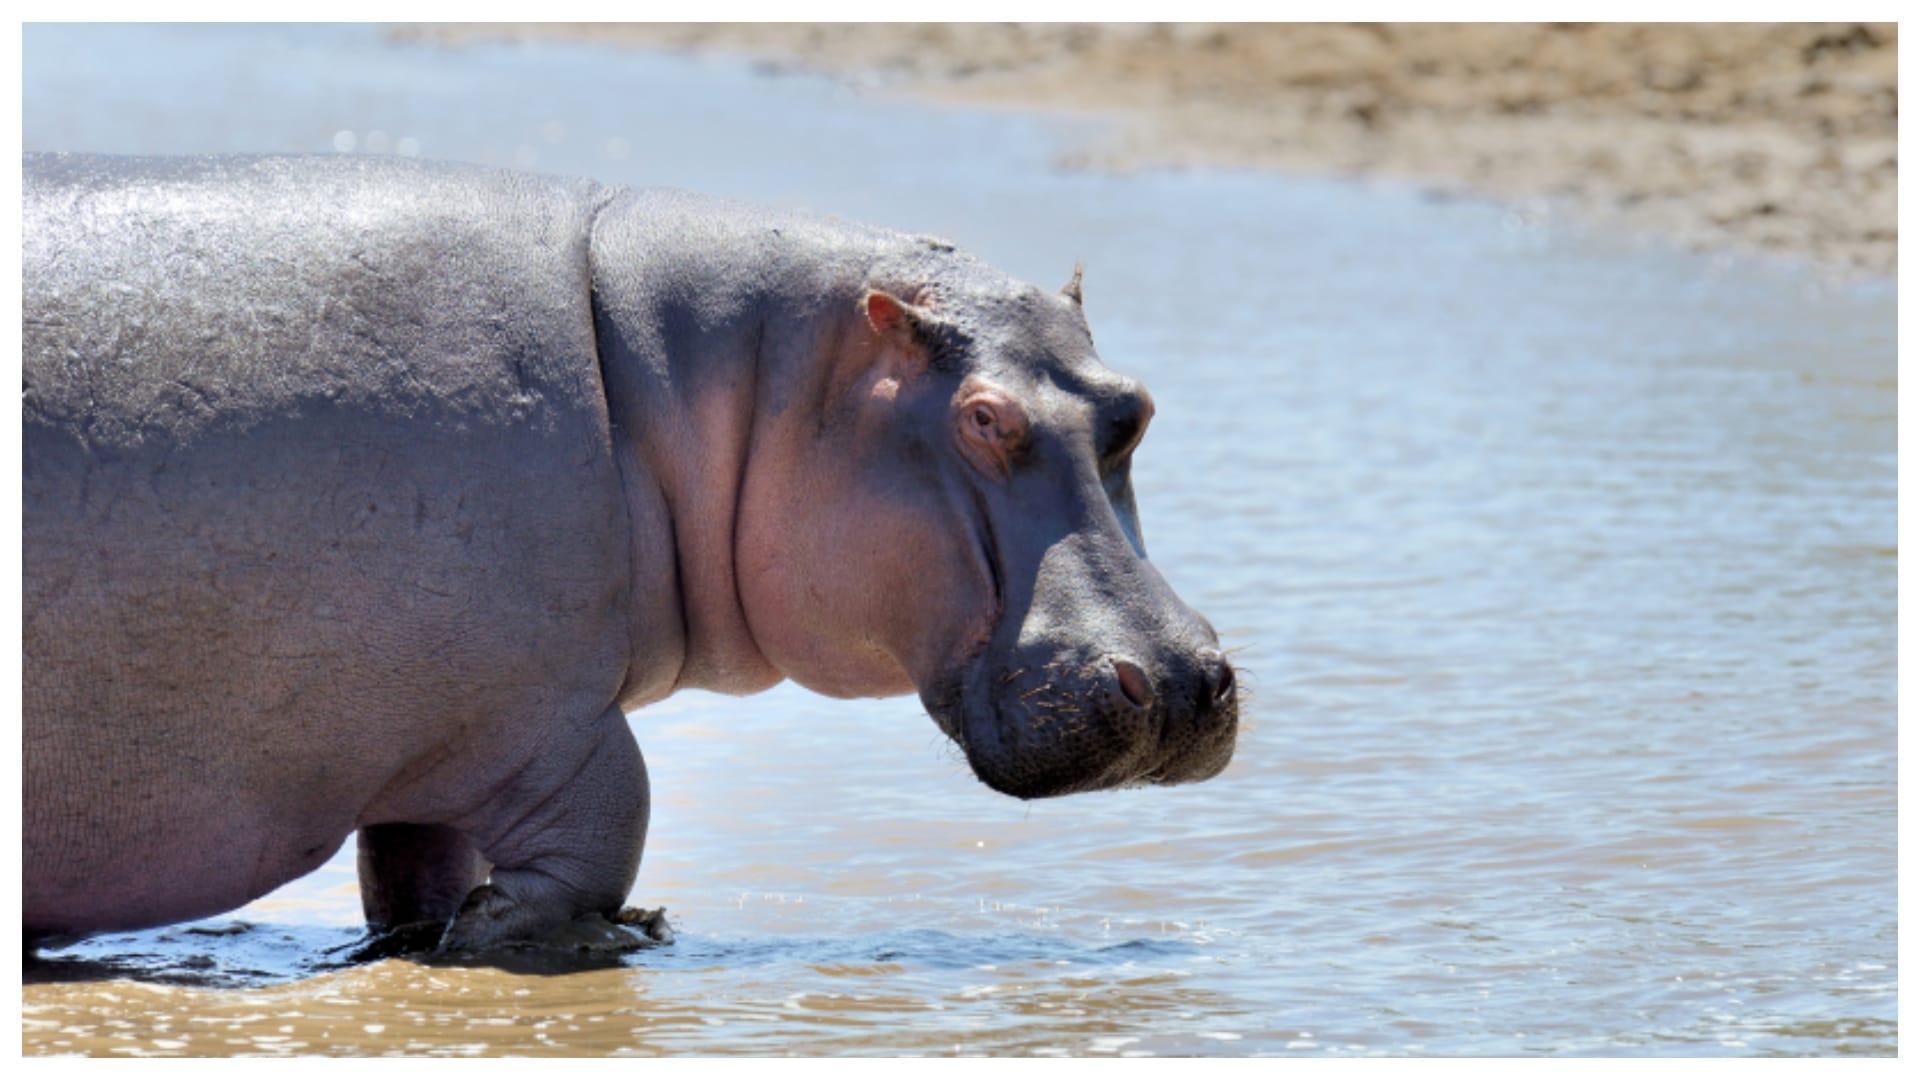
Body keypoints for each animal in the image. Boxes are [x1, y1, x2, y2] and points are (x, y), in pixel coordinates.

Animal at [22, 153, 1238, 953]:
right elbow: (612, 815)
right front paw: (528, 934)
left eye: (1135, 406)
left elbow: (421, 867)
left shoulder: (433, 738)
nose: (1182, 680)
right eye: (984, 418)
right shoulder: (534, 711)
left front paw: (435, 938)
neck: (706, 375)